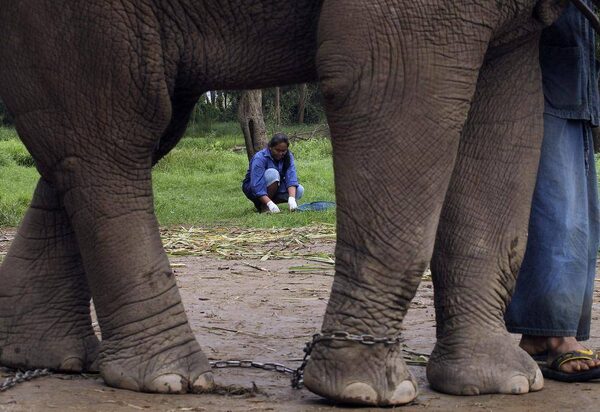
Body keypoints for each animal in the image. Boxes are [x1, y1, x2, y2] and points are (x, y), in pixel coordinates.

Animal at [0, 0, 576, 407]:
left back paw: (43, 354)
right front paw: (366, 393)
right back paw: (170, 379)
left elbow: (511, 117)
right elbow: (389, 84)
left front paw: (503, 385)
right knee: (117, 132)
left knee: (104, 142)